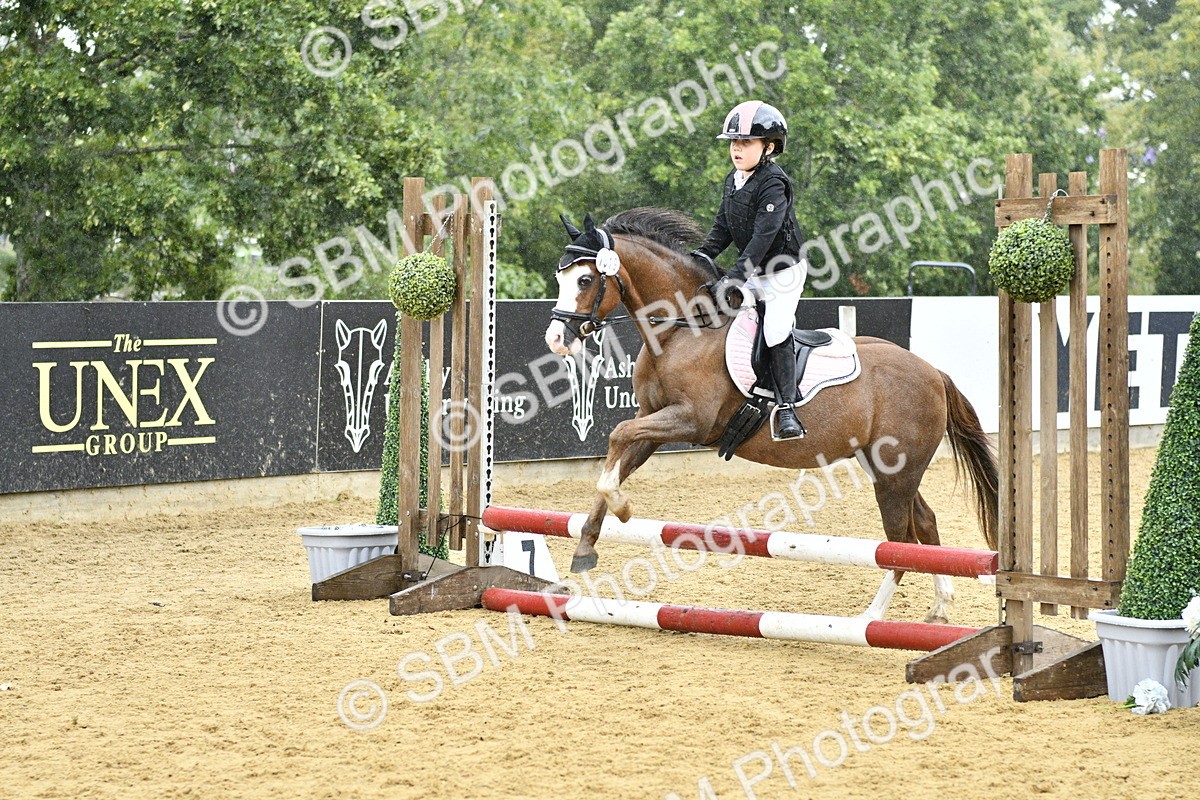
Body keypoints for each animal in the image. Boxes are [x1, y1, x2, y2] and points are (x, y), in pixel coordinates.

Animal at [543, 207, 999, 625]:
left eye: (585, 280)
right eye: (560, 278)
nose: (556, 339)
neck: (681, 330)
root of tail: (933, 372)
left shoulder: (691, 420)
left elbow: (618, 434)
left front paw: (622, 508)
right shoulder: (653, 422)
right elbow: (616, 456)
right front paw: (587, 546)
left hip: (896, 473)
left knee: (898, 540)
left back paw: (869, 618)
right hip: (886, 466)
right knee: (923, 522)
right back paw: (940, 606)